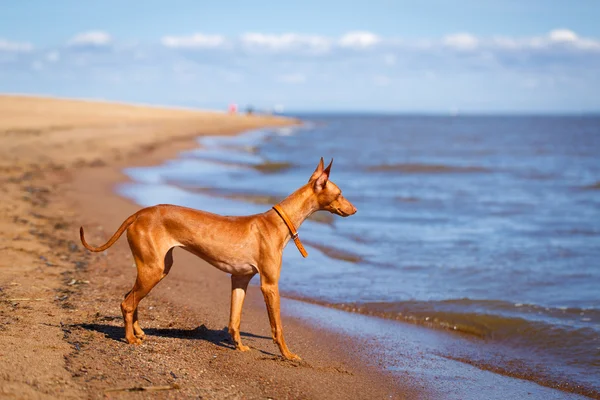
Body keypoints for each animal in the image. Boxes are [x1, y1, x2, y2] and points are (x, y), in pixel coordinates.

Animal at [82, 158, 358, 360]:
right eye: (340, 193)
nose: (355, 210)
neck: (277, 223)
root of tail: (139, 213)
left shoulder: (240, 279)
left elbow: (234, 319)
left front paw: (239, 346)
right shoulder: (269, 285)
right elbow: (277, 326)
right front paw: (287, 355)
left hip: (156, 268)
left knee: (129, 297)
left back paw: (138, 332)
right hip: (153, 269)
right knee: (127, 303)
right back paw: (129, 338)